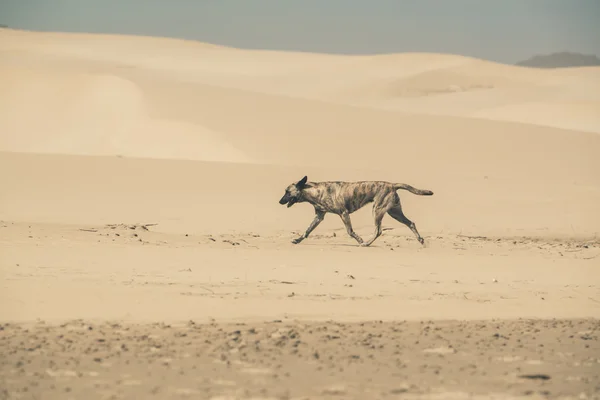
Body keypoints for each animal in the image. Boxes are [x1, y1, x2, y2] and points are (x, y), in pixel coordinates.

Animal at [278, 176, 434, 247]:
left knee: (378, 230)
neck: (315, 191)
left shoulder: (344, 214)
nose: (279, 201)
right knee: (411, 223)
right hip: (394, 212)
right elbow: (307, 231)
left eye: (287, 192)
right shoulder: (319, 217)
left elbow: (350, 231)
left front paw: (359, 240)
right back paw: (420, 240)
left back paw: (366, 243)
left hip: (377, 211)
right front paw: (298, 239)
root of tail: (392, 185)